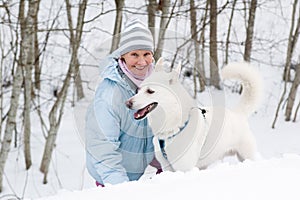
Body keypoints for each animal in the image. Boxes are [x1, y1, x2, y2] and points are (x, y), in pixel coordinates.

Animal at [125, 57, 262, 172]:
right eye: (139, 90)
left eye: (150, 91)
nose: (127, 103)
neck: (174, 127)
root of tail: (238, 112)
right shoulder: (167, 167)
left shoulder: (184, 168)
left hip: (246, 155)